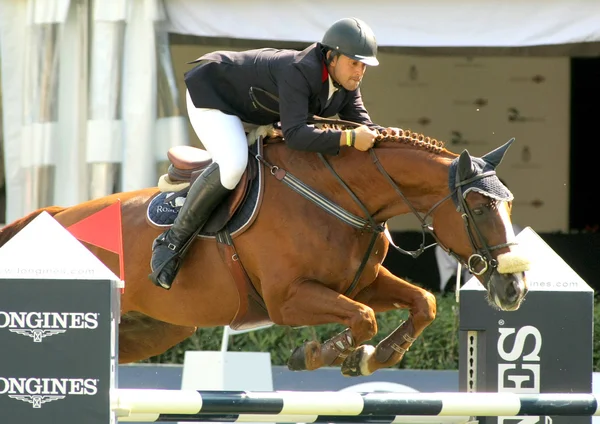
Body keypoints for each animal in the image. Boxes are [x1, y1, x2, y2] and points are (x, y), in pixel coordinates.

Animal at [0, 126, 528, 378]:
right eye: (480, 207)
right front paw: (316, 354)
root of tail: (53, 213)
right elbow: (361, 320)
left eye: (510, 204)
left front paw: (368, 359)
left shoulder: (362, 283)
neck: (340, 197)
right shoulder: (287, 299)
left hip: (152, 330)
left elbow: (425, 302)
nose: (514, 287)